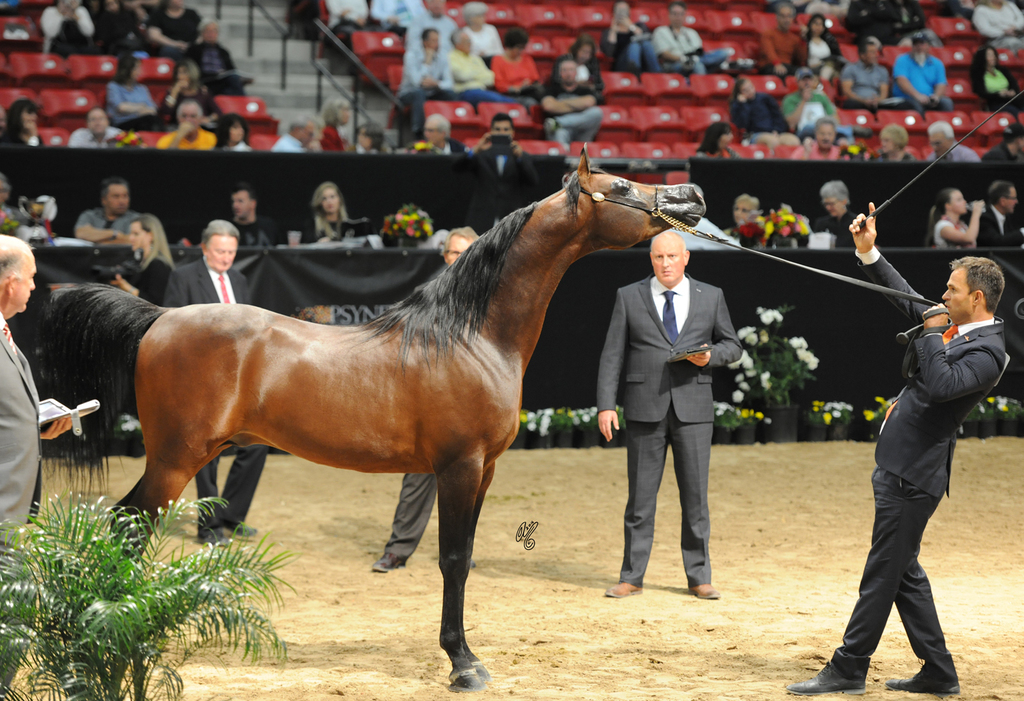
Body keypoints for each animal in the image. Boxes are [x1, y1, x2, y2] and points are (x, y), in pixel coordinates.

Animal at [38, 149, 705, 692]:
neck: (469, 335)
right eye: (621, 185)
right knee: (126, 526)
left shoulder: (484, 471)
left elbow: (462, 555)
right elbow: (452, 559)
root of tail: (158, 318)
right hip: (176, 459)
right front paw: (463, 664)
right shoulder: (459, 467)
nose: (692, 196)